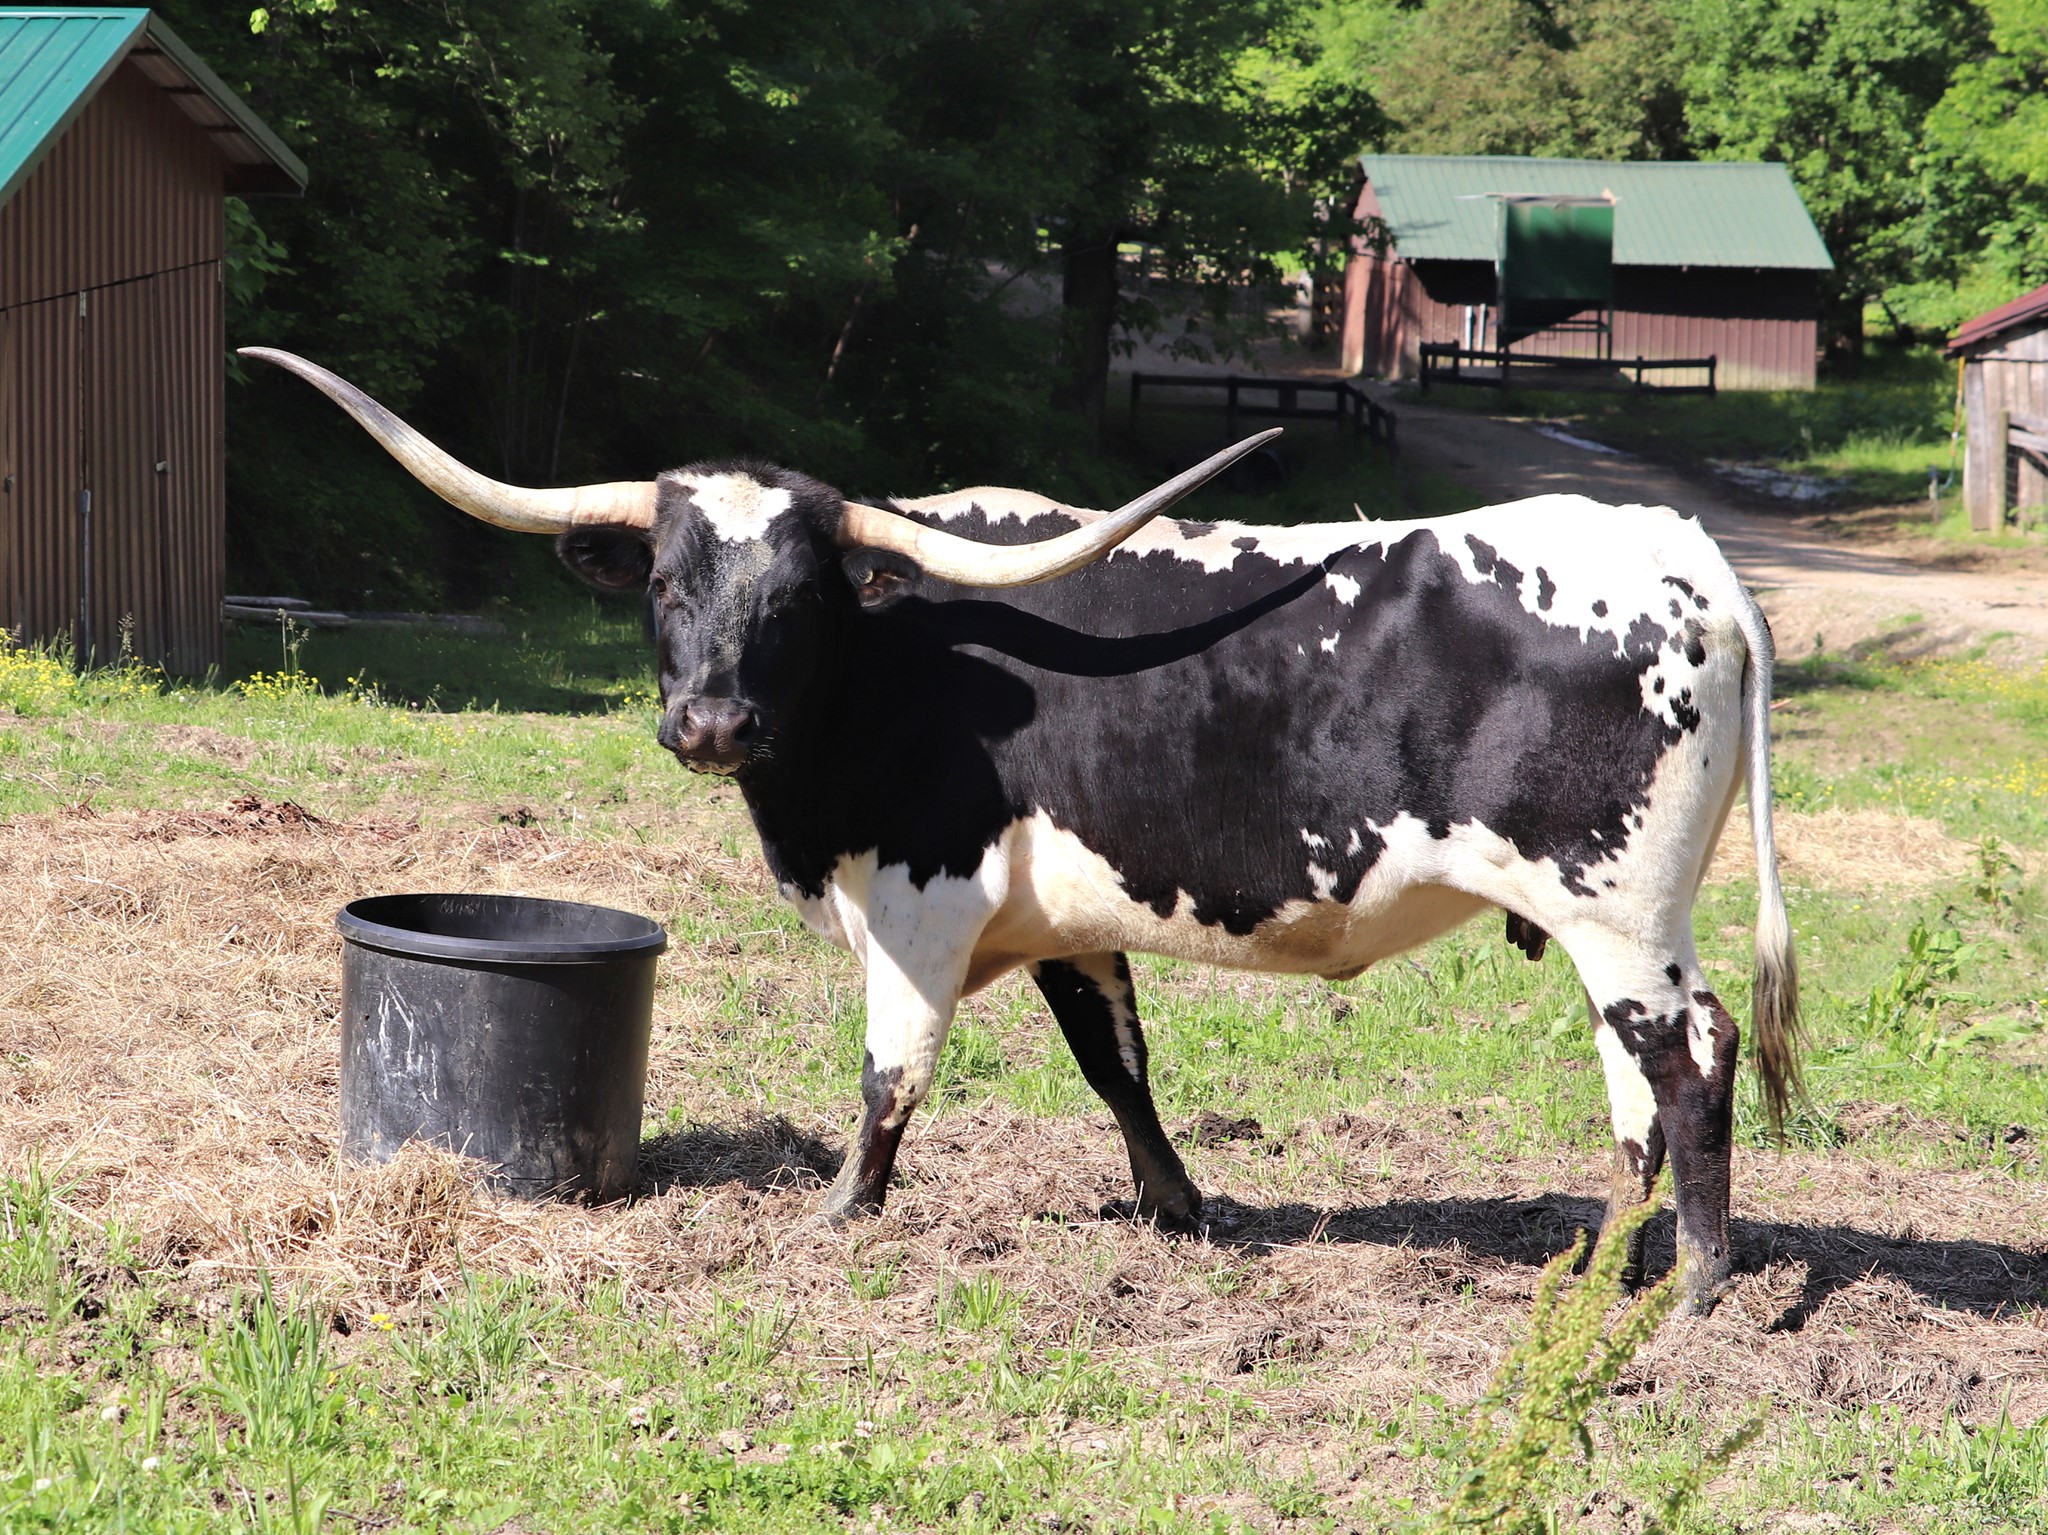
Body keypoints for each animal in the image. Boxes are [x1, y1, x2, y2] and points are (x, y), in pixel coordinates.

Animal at [246, 347, 1799, 1311]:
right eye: (667, 583)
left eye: (798, 595)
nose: (711, 723)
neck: (894, 668)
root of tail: (1678, 552)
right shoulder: (1067, 918)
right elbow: (1118, 1064)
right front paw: (1178, 1210)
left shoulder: (917, 898)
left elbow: (892, 1071)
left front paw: (837, 1217)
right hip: (1596, 923)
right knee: (1632, 1090)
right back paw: (1596, 1267)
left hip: (1620, 910)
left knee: (1692, 1057)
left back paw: (1696, 1284)